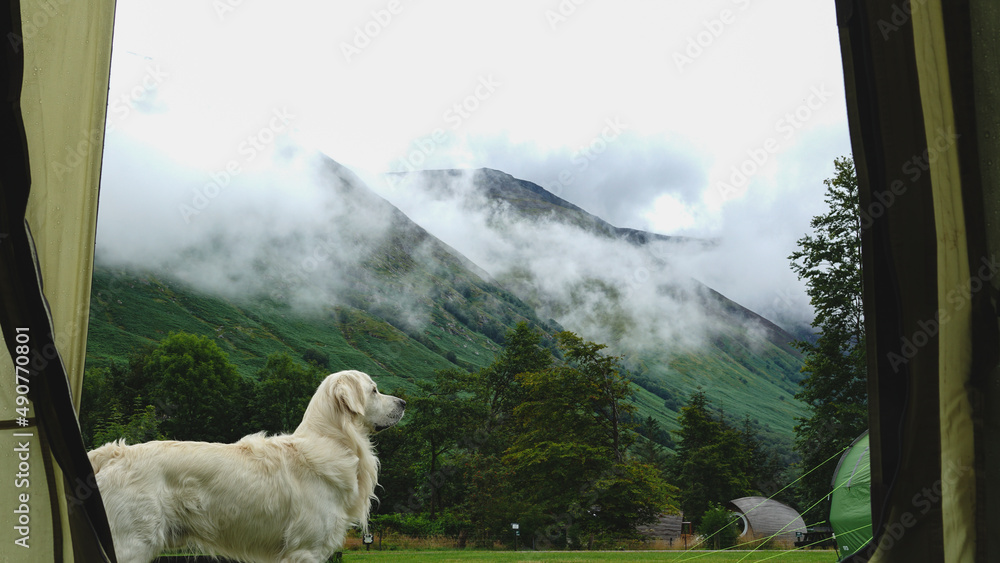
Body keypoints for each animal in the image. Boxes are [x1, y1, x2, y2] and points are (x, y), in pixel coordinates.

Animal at [89, 370, 406, 563]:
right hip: (131, 544)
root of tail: (115, 453)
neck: (331, 440)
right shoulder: (305, 549)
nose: (404, 402)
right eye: (374, 390)